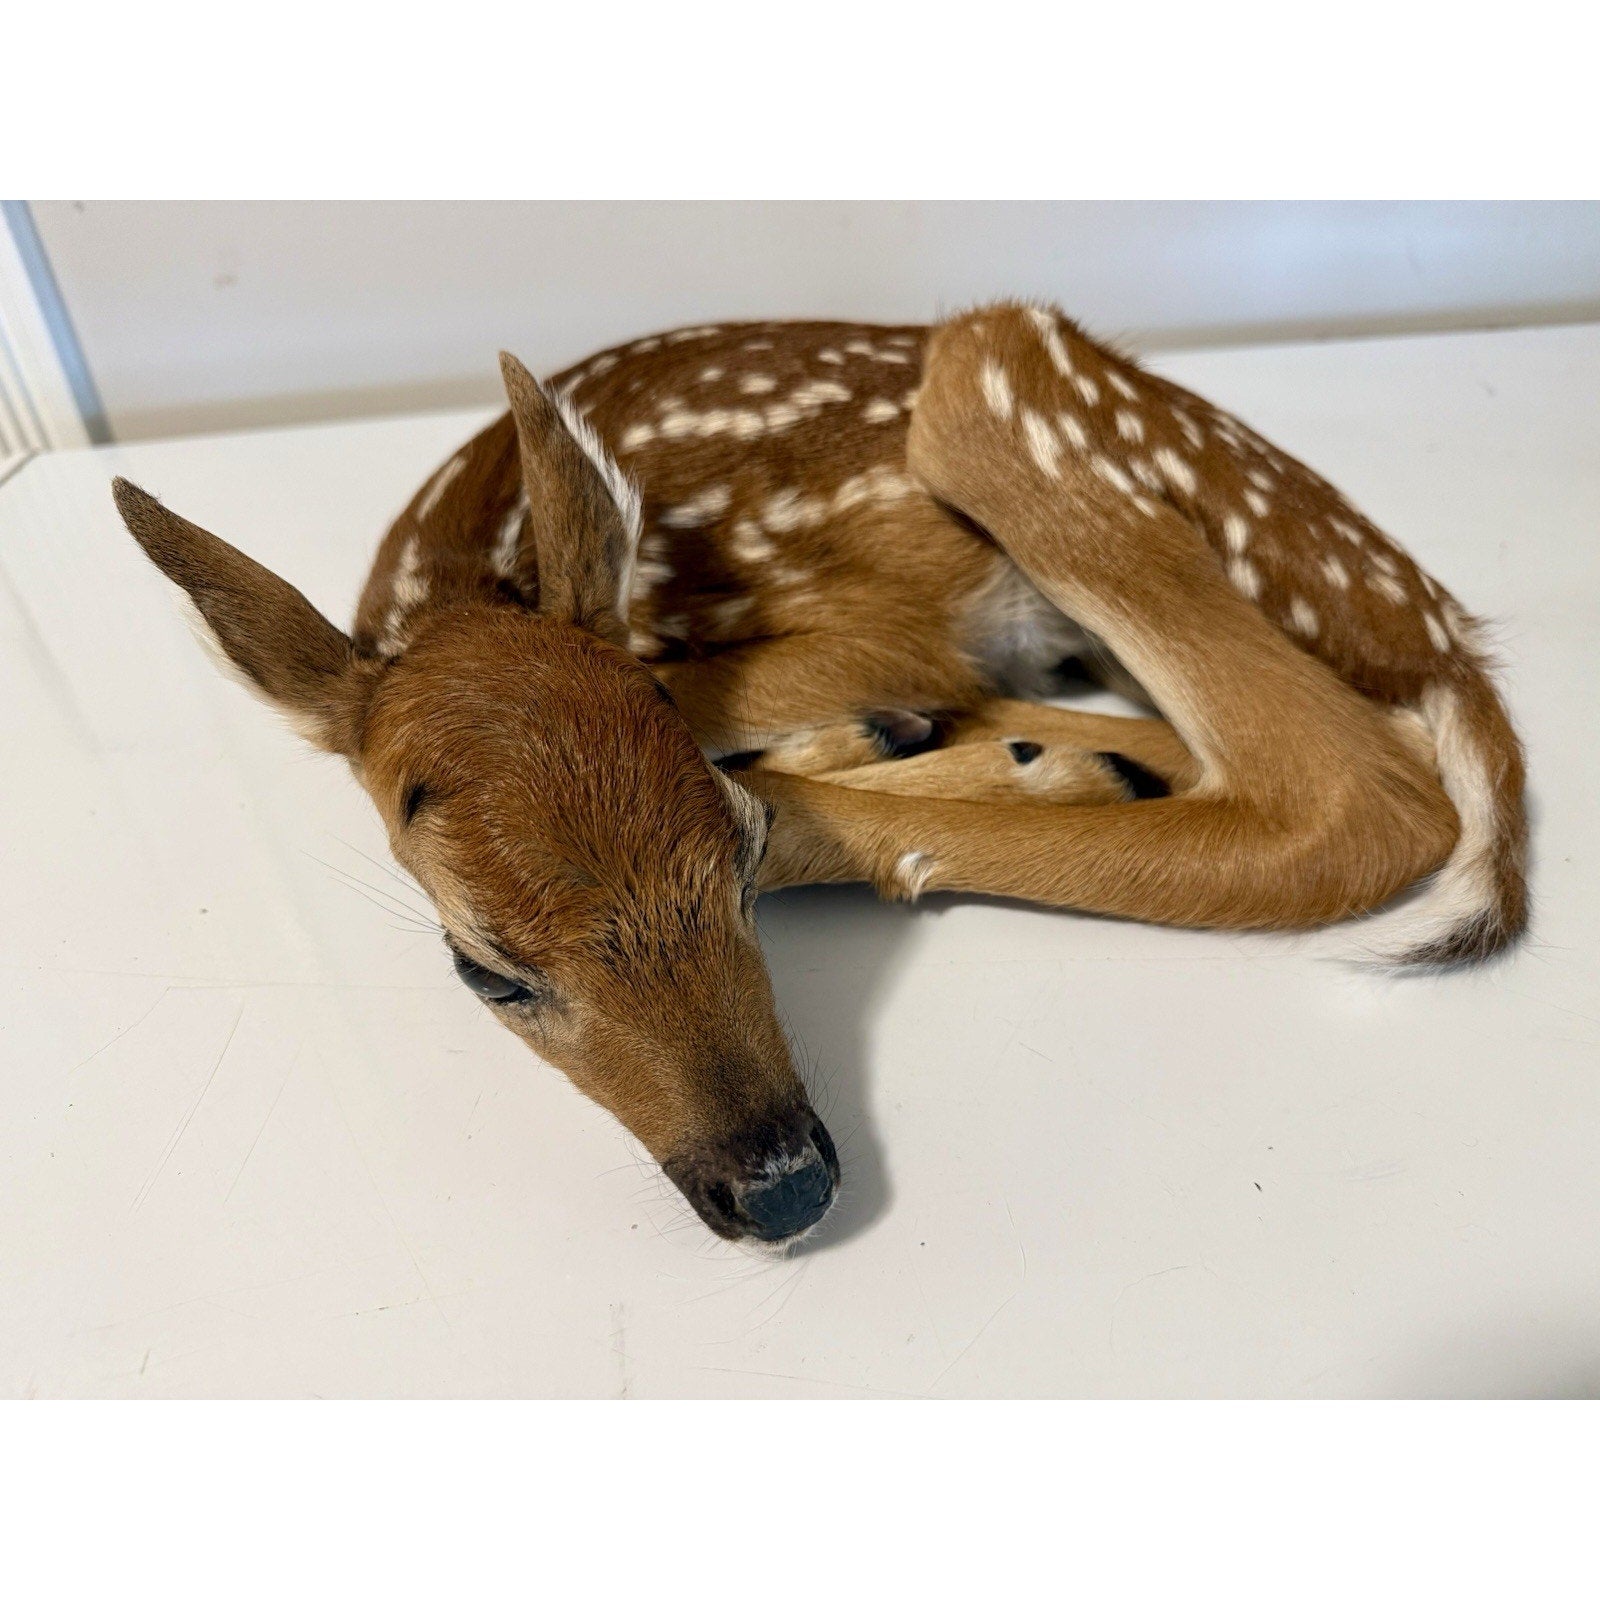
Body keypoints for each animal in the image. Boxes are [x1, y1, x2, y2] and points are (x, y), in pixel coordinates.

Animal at [111, 300, 1527, 1250]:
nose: (781, 1185)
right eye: (486, 973)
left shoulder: (894, 622)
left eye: (734, 869)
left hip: (998, 382)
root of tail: (1431, 628)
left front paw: (843, 762)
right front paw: (954, 750)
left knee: (1363, 793)